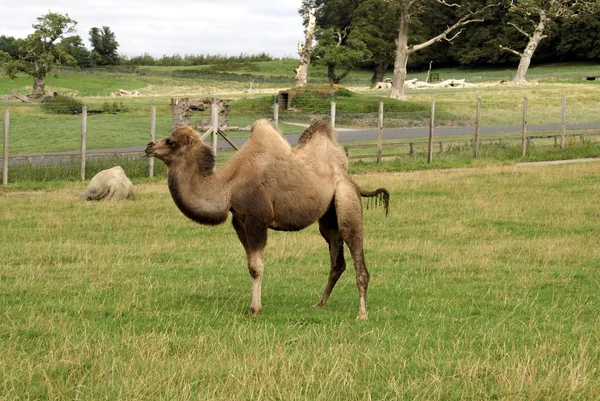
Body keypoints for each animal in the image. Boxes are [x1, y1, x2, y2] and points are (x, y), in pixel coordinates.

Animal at [145, 119, 390, 318]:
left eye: (170, 141)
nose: (149, 146)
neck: (228, 186)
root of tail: (349, 177)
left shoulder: (257, 219)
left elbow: (256, 266)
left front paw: (255, 309)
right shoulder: (240, 221)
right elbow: (250, 264)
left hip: (346, 200)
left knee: (356, 251)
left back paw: (362, 313)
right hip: (328, 217)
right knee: (336, 259)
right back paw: (320, 303)